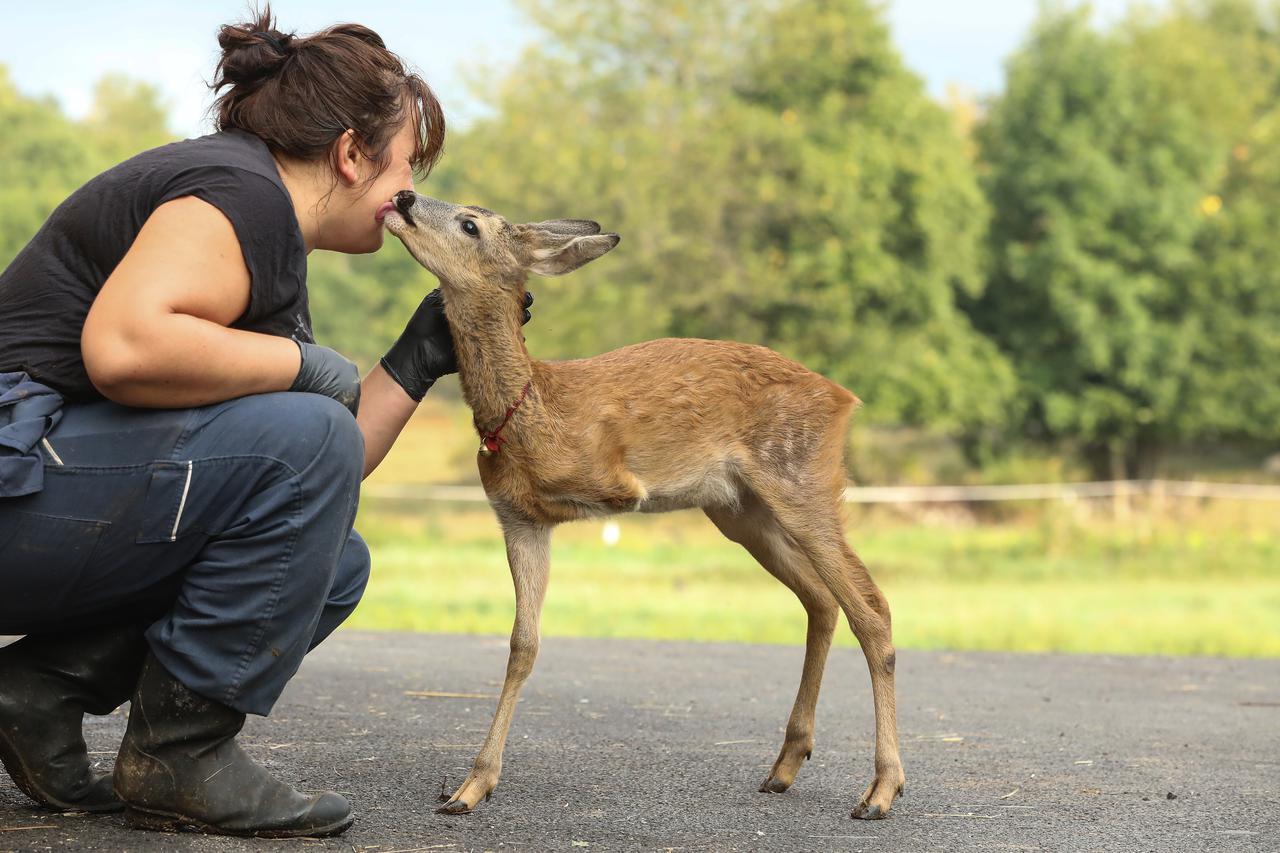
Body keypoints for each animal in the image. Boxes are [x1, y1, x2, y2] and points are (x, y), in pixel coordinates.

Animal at [384, 190, 906, 819]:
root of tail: (844, 398)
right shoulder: (520, 518)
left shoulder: (611, 484)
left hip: (802, 480)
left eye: (470, 224)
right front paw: (472, 785)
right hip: (743, 511)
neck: (533, 407)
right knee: (822, 602)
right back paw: (785, 766)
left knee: (871, 608)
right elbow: (522, 644)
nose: (405, 197)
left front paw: (474, 783)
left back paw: (881, 790)